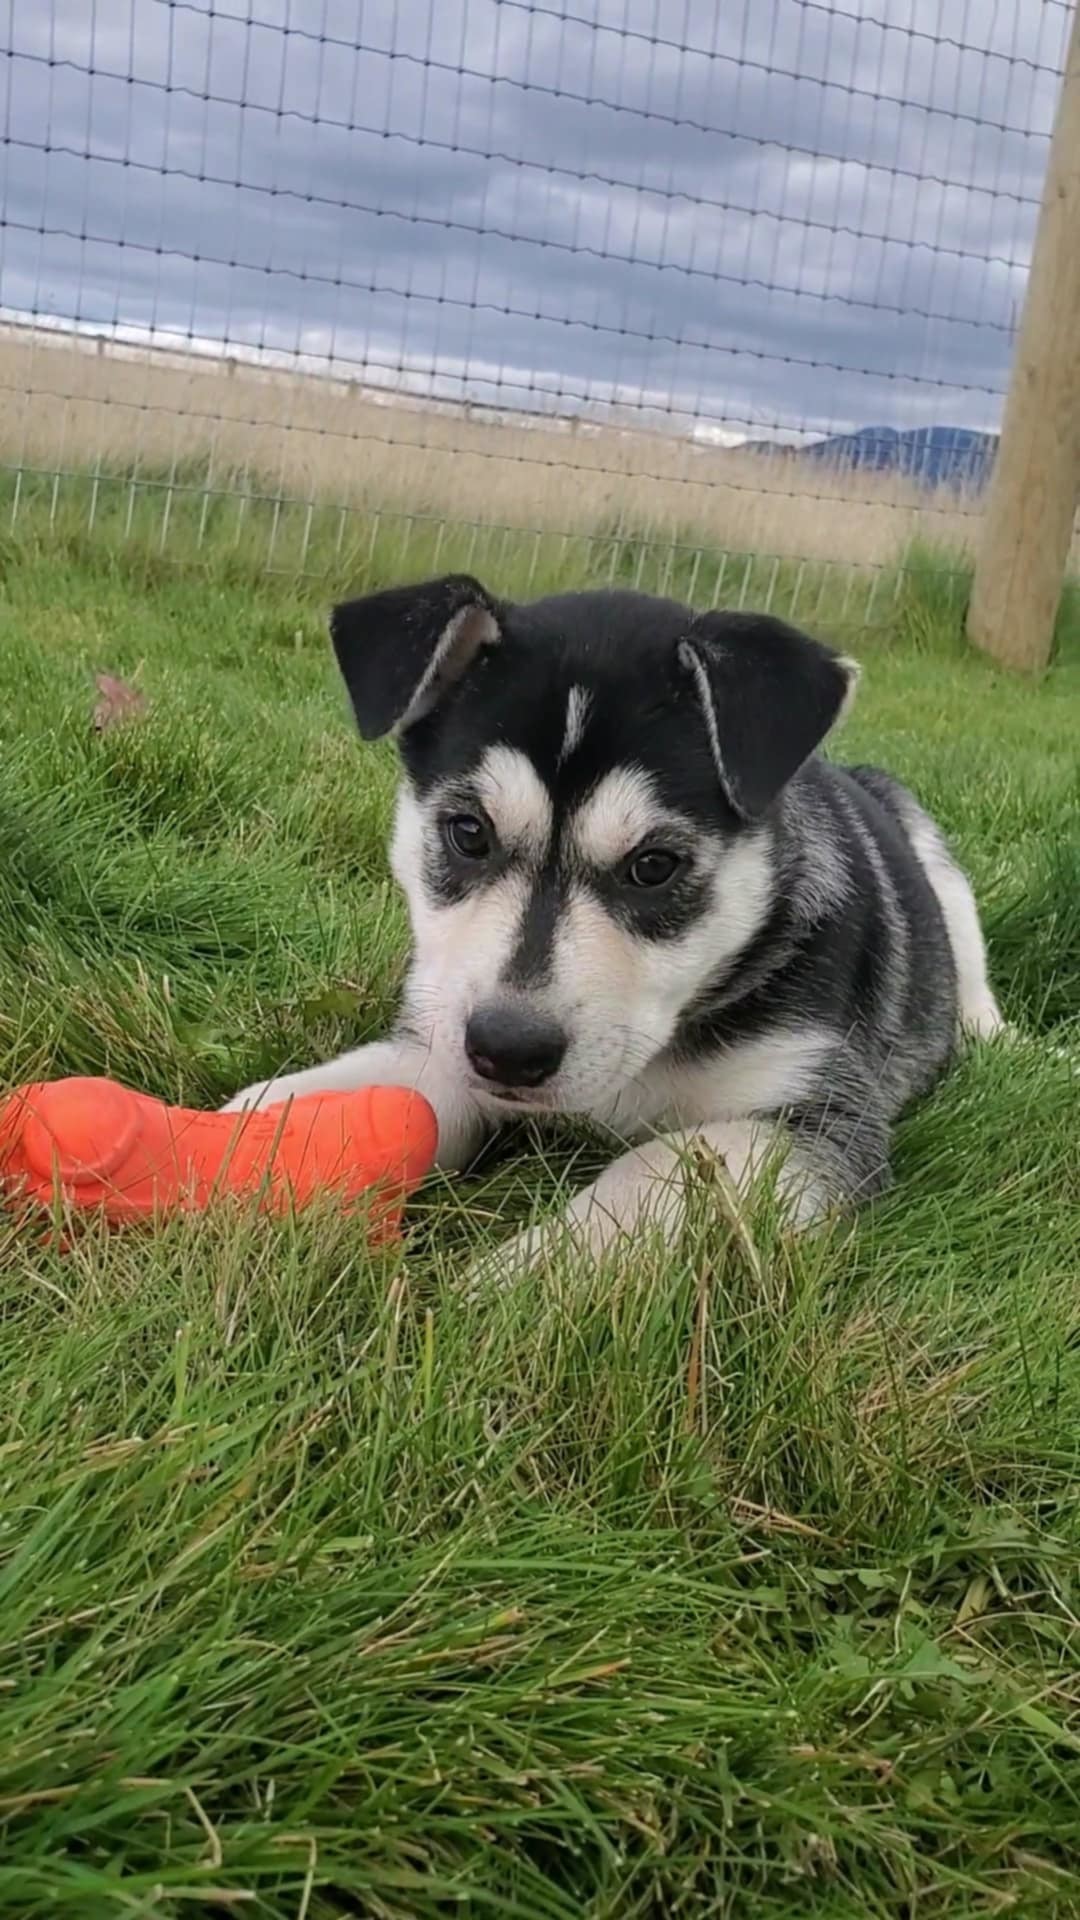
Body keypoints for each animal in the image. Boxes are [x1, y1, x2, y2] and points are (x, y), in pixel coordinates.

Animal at [224, 576, 999, 1267]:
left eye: (654, 866)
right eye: (468, 833)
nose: (507, 1049)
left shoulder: (816, 1117)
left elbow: (657, 1172)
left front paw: (516, 1284)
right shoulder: (441, 1033)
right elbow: (343, 1094)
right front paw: (234, 1141)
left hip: (929, 846)